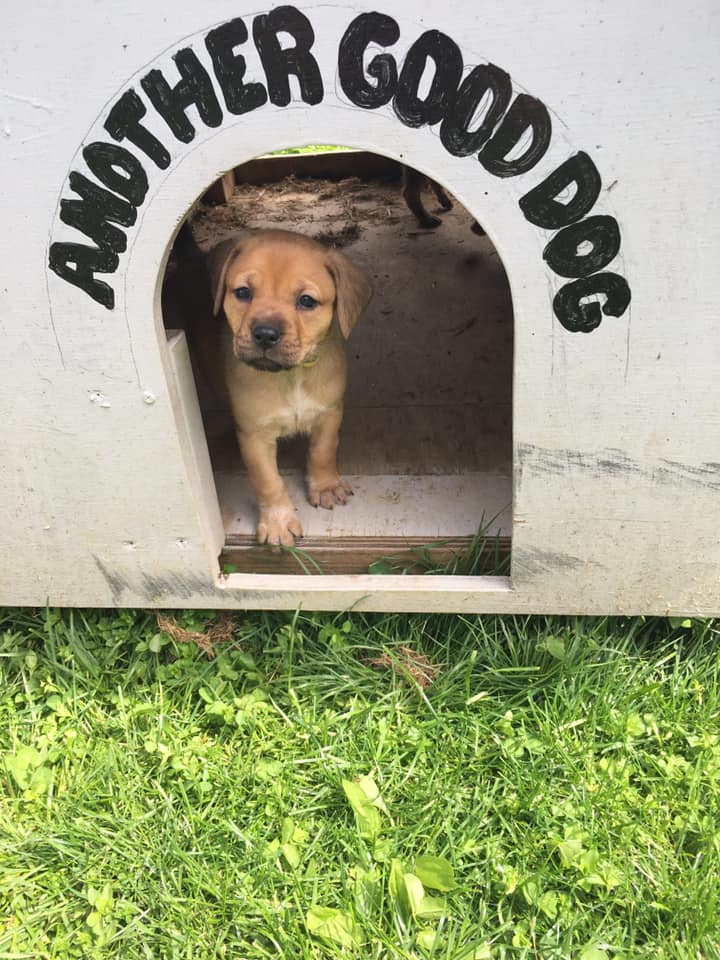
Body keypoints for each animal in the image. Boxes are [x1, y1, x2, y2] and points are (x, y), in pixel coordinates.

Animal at [208, 229, 372, 548]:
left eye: (306, 301)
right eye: (243, 293)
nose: (265, 334)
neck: (291, 376)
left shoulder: (329, 413)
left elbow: (323, 451)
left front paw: (325, 486)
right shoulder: (255, 435)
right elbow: (268, 482)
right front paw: (278, 522)